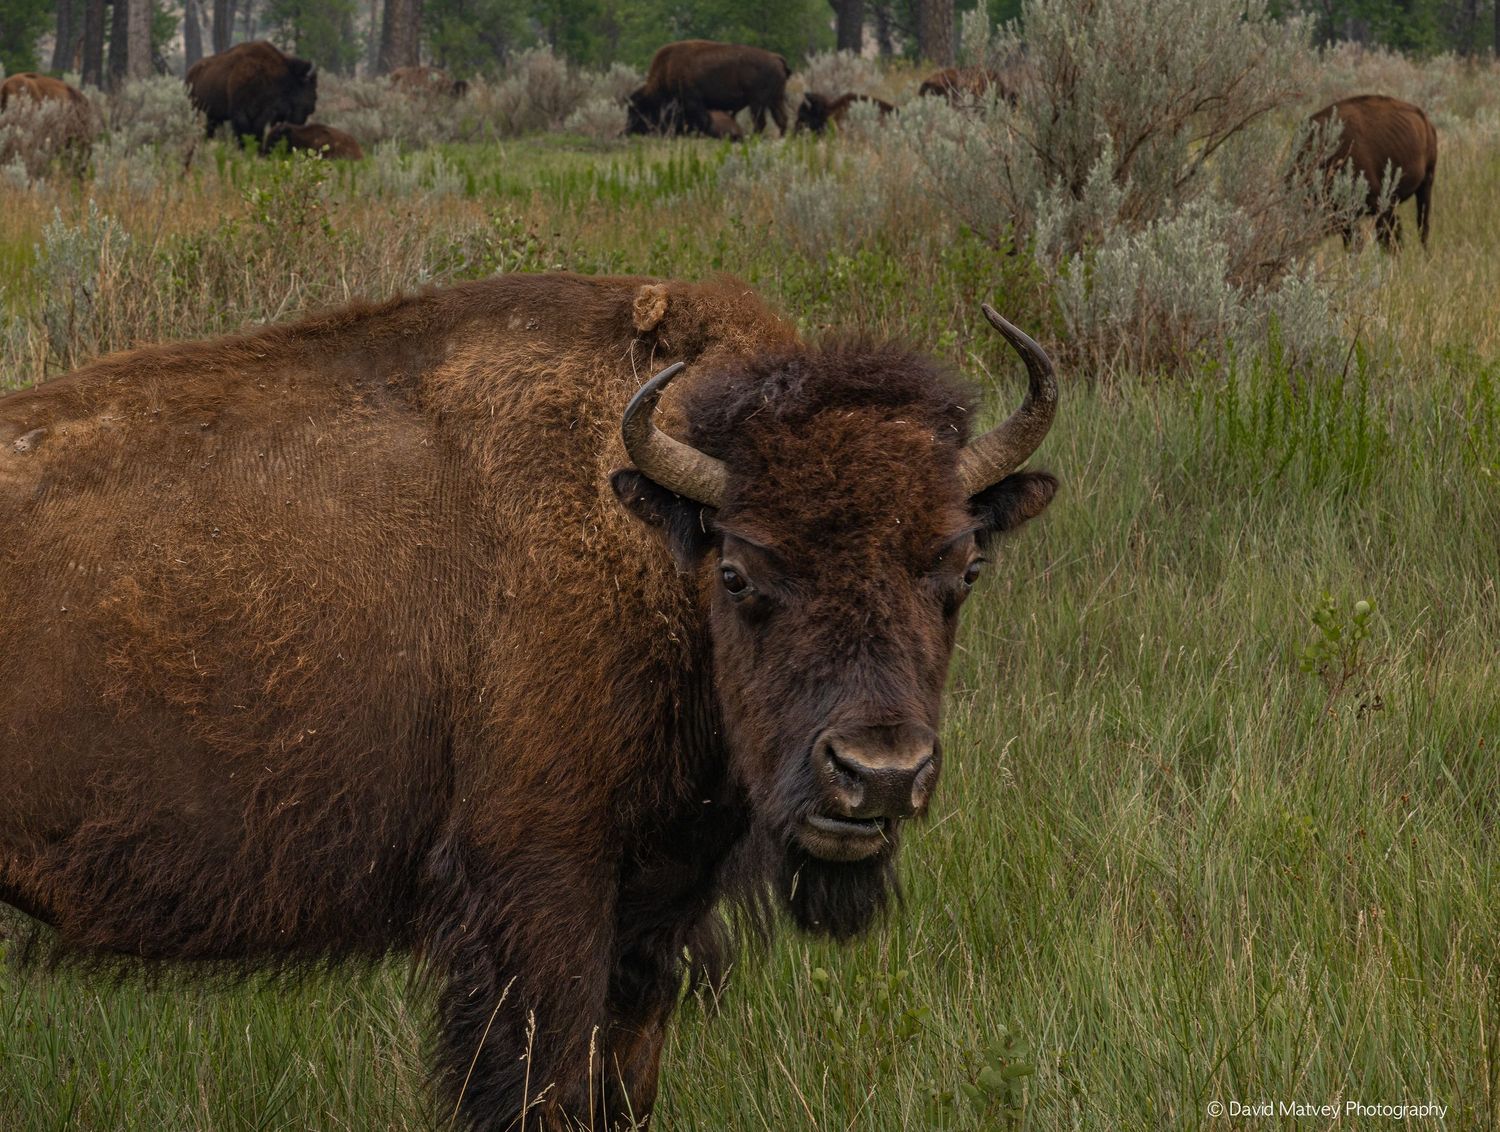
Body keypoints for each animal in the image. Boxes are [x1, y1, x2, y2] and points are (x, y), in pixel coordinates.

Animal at [0, 272, 1058, 1130]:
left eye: (963, 567)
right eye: (741, 571)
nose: (877, 773)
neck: (650, 534)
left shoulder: (650, 919)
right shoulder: (540, 896)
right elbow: (537, 1091)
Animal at [627, 39, 790, 137]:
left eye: (637, 110)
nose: (628, 130)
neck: (667, 70)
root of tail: (775, 57)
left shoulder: (694, 103)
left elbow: (702, 123)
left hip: (757, 103)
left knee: (761, 123)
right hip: (775, 100)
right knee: (782, 120)